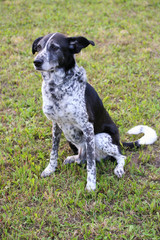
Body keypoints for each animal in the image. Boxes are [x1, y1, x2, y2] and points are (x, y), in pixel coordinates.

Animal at [31, 32, 157, 191]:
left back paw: (118, 169)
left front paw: (91, 185)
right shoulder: (56, 124)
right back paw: (73, 159)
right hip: (71, 138)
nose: (36, 61)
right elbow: (53, 151)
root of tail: (119, 142)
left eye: (55, 47)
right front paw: (50, 169)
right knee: (82, 157)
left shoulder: (88, 127)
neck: (57, 88)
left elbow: (91, 164)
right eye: (38, 47)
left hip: (100, 138)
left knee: (119, 156)